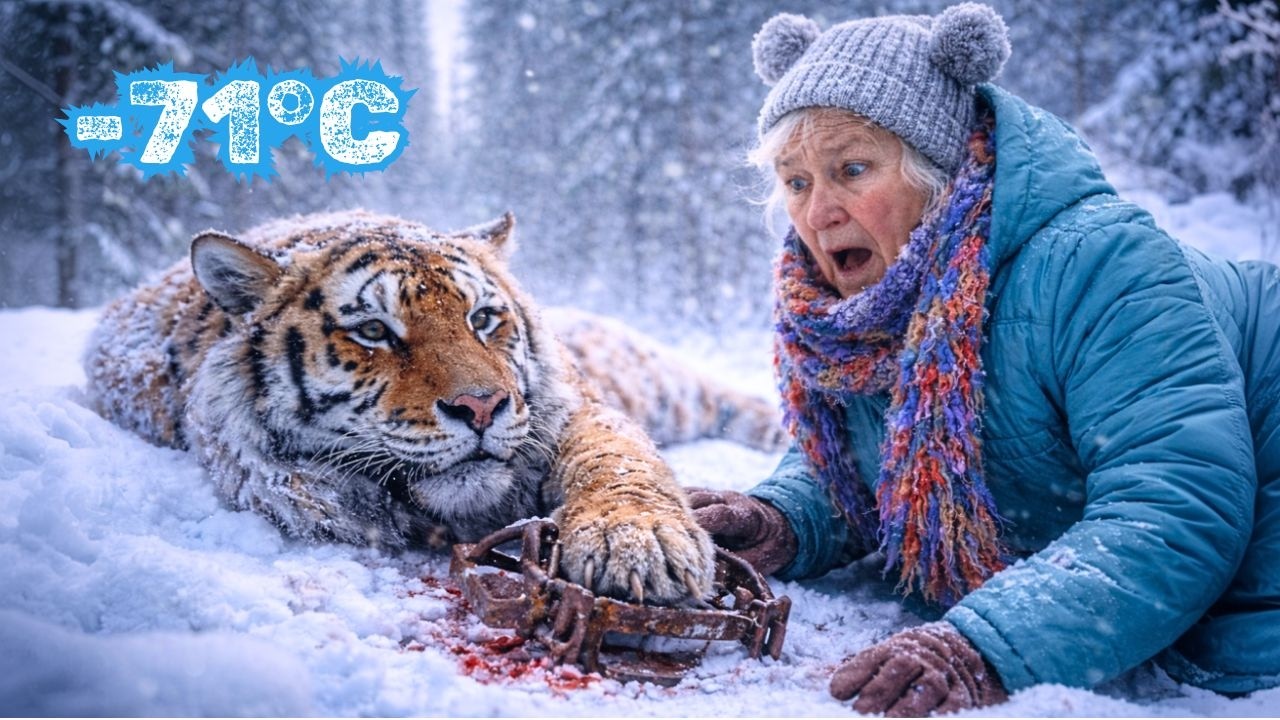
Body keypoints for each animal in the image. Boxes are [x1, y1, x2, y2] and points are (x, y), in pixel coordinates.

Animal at [83, 209, 782, 605]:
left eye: (483, 319)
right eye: (373, 331)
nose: (483, 406)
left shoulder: (576, 410)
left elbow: (619, 459)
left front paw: (639, 543)